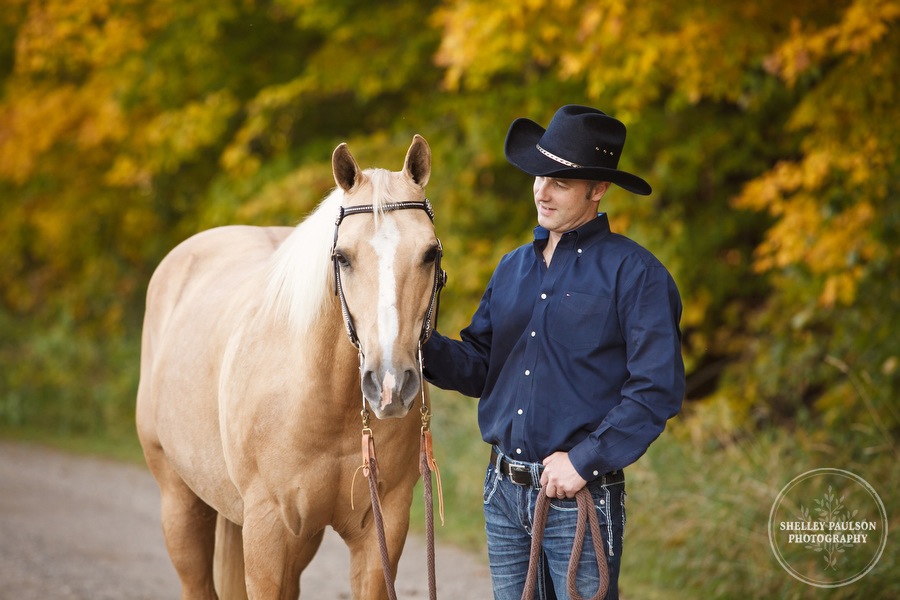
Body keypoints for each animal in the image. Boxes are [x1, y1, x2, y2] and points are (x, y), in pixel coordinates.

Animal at [135, 137, 442, 600]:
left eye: (430, 254)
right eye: (342, 257)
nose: (390, 384)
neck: (323, 401)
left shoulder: (381, 530)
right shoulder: (267, 530)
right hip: (181, 504)